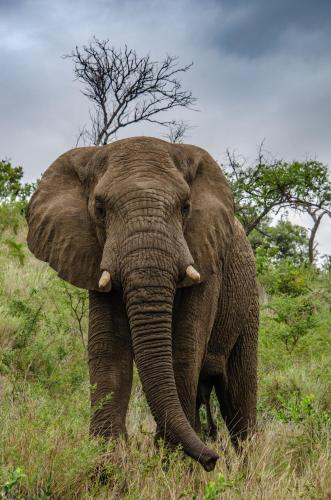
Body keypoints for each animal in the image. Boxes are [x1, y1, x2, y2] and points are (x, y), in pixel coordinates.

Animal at [26, 135, 260, 470]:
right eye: (99, 209)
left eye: (185, 207)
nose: (212, 460)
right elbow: (108, 348)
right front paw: (106, 466)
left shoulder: (206, 259)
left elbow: (184, 349)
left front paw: (171, 464)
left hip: (248, 299)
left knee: (240, 396)